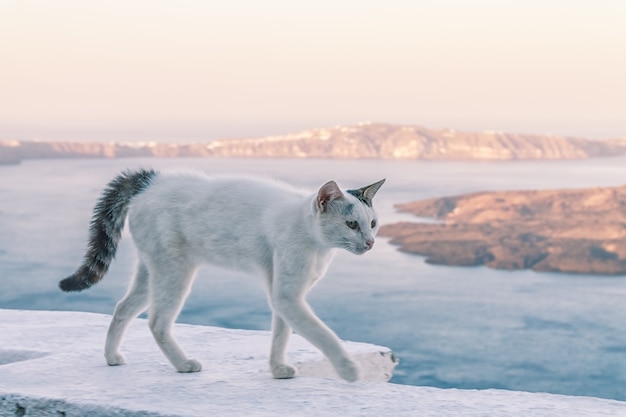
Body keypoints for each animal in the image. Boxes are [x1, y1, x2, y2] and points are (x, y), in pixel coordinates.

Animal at [58, 168, 382, 380]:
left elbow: (281, 333)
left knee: (122, 308)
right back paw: (183, 364)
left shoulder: (283, 293)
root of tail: (153, 182)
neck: (314, 240)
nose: (370, 242)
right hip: (175, 272)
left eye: (373, 224)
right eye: (352, 224)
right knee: (157, 322)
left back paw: (112, 357)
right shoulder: (288, 295)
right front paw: (349, 370)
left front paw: (277, 369)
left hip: (151, 270)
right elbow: (322, 333)